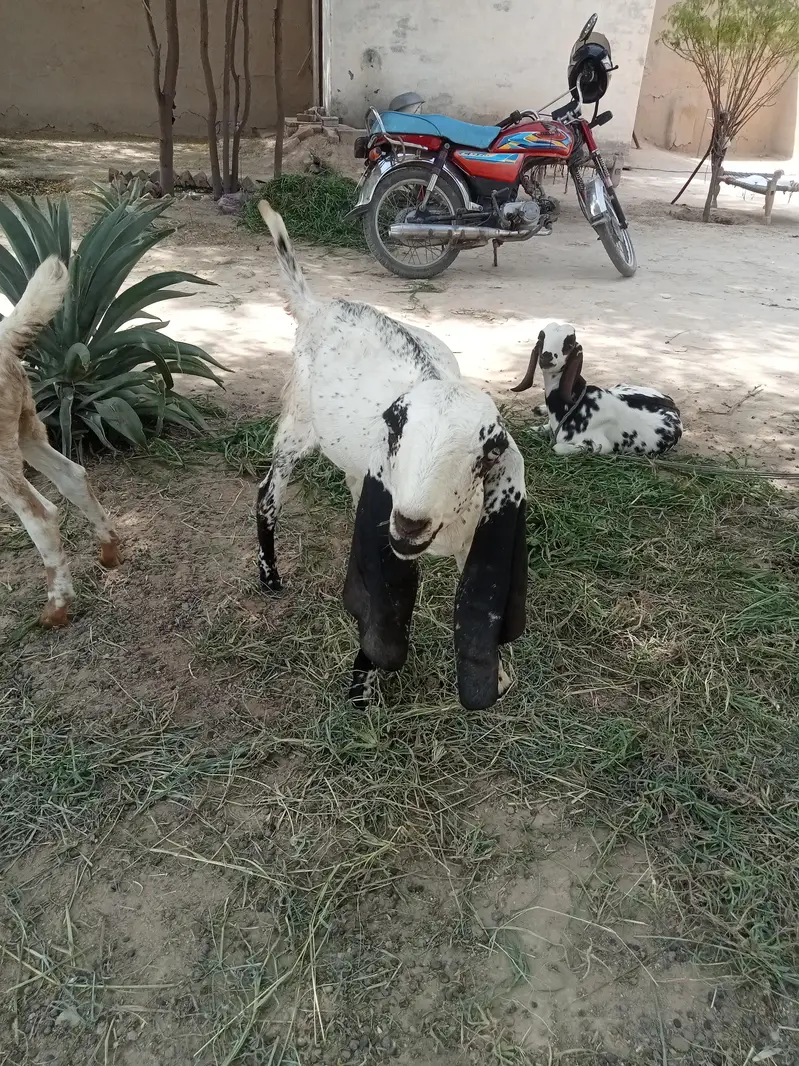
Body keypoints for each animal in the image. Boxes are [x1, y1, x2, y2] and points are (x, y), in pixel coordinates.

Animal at [255, 202, 528, 711]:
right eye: (397, 422)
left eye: (489, 451)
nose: (409, 522)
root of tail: (318, 308)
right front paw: (361, 690)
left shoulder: (470, 541)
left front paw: (499, 678)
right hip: (297, 425)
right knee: (267, 493)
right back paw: (270, 578)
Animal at [512, 322, 682, 457]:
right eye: (541, 338)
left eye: (570, 343)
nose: (546, 357)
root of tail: (673, 406)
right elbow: (533, 430)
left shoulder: (599, 445)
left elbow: (557, 447)